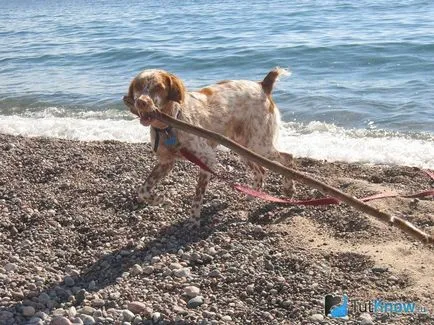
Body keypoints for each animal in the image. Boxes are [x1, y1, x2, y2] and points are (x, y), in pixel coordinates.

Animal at [124, 67, 296, 221]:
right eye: (138, 86)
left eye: (158, 87)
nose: (141, 102)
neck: (168, 126)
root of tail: (262, 85)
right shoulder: (166, 162)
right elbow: (143, 189)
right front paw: (161, 199)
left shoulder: (207, 159)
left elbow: (198, 194)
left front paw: (194, 219)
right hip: (244, 147)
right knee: (261, 171)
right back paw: (252, 198)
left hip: (259, 146)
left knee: (288, 158)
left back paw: (288, 188)